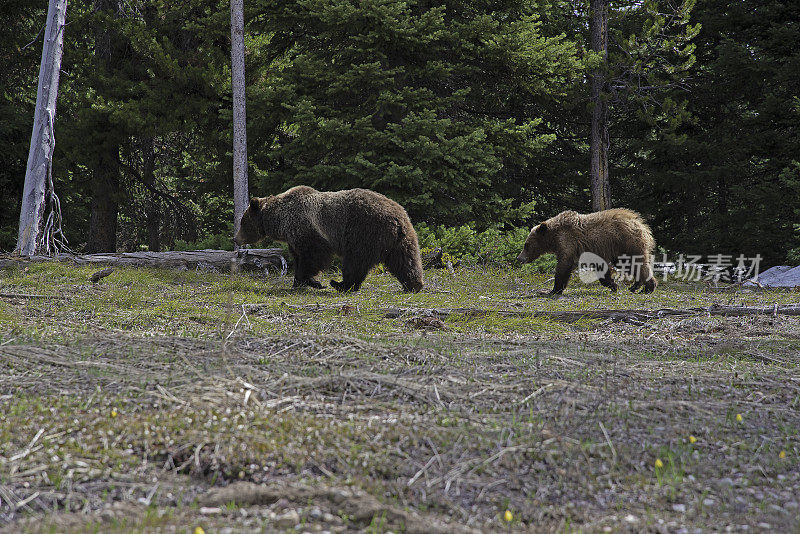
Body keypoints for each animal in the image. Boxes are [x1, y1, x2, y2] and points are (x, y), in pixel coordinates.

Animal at [233, 185, 424, 294]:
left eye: (242, 222)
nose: (235, 239)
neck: (281, 221)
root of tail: (397, 218)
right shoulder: (294, 238)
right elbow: (298, 257)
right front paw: (298, 283)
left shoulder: (307, 229)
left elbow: (314, 256)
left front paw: (312, 281)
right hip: (402, 239)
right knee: (406, 260)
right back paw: (414, 284)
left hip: (364, 232)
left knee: (355, 262)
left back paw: (340, 284)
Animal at [520, 209, 656, 296]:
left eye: (526, 245)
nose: (519, 258)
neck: (554, 237)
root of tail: (641, 224)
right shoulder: (591, 250)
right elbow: (601, 267)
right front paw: (613, 284)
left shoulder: (568, 241)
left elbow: (564, 265)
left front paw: (553, 290)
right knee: (629, 264)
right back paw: (635, 286)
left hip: (627, 242)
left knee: (636, 262)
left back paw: (648, 288)